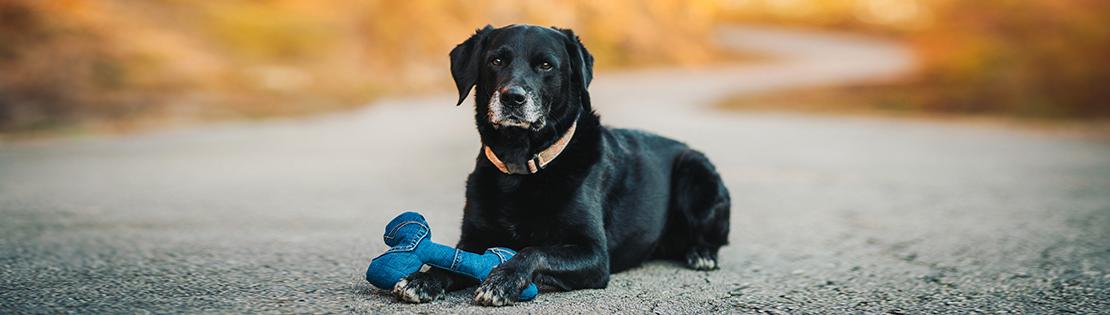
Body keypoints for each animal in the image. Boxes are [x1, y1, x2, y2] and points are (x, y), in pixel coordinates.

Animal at [390, 24, 728, 306]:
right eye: (496, 61)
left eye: (545, 65)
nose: (512, 97)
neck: (521, 164)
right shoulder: (473, 239)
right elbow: (453, 260)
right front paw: (423, 279)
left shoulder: (594, 254)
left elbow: (534, 251)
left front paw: (502, 281)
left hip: (696, 171)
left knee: (714, 238)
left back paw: (701, 253)